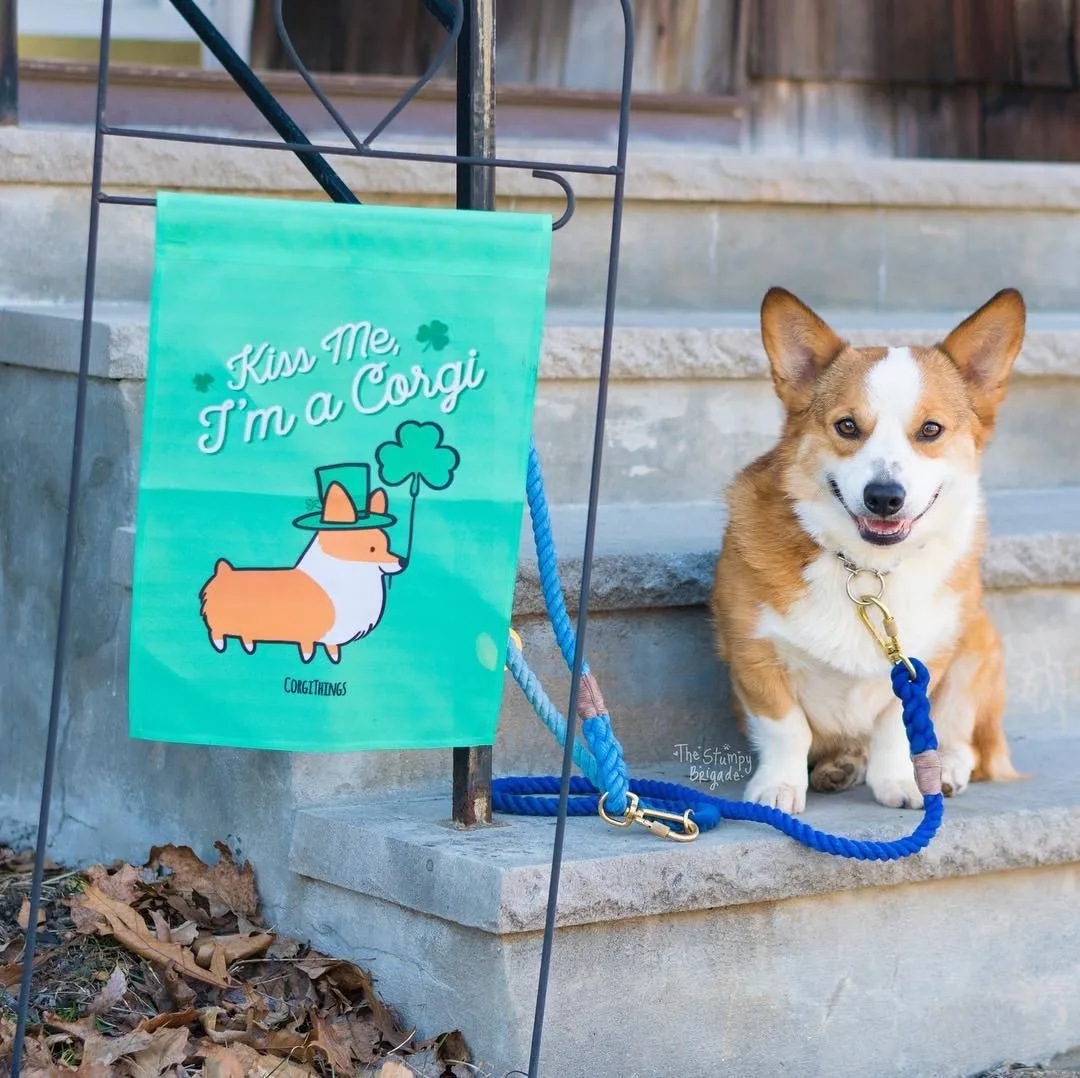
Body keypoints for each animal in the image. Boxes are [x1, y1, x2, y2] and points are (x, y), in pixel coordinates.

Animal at [199, 483, 406, 665]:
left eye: (387, 545)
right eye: (371, 549)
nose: (403, 562)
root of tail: (224, 571)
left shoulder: (333, 637)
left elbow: (332, 649)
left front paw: (335, 659)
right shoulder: (307, 635)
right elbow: (308, 648)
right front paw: (308, 660)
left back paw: (249, 647)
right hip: (220, 621)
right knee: (216, 633)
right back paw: (221, 646)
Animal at [712, 287, 1023, 812]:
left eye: (931, 430)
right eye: (847, 426)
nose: (884, 497)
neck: (865, 567)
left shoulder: (924, 663)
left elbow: (898, 726)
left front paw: (902, 780)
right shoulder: (754, 655)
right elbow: (786, 729)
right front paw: (778, 788)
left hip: (978, 645)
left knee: (966, 739)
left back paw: (943, 769)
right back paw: (839, 766)